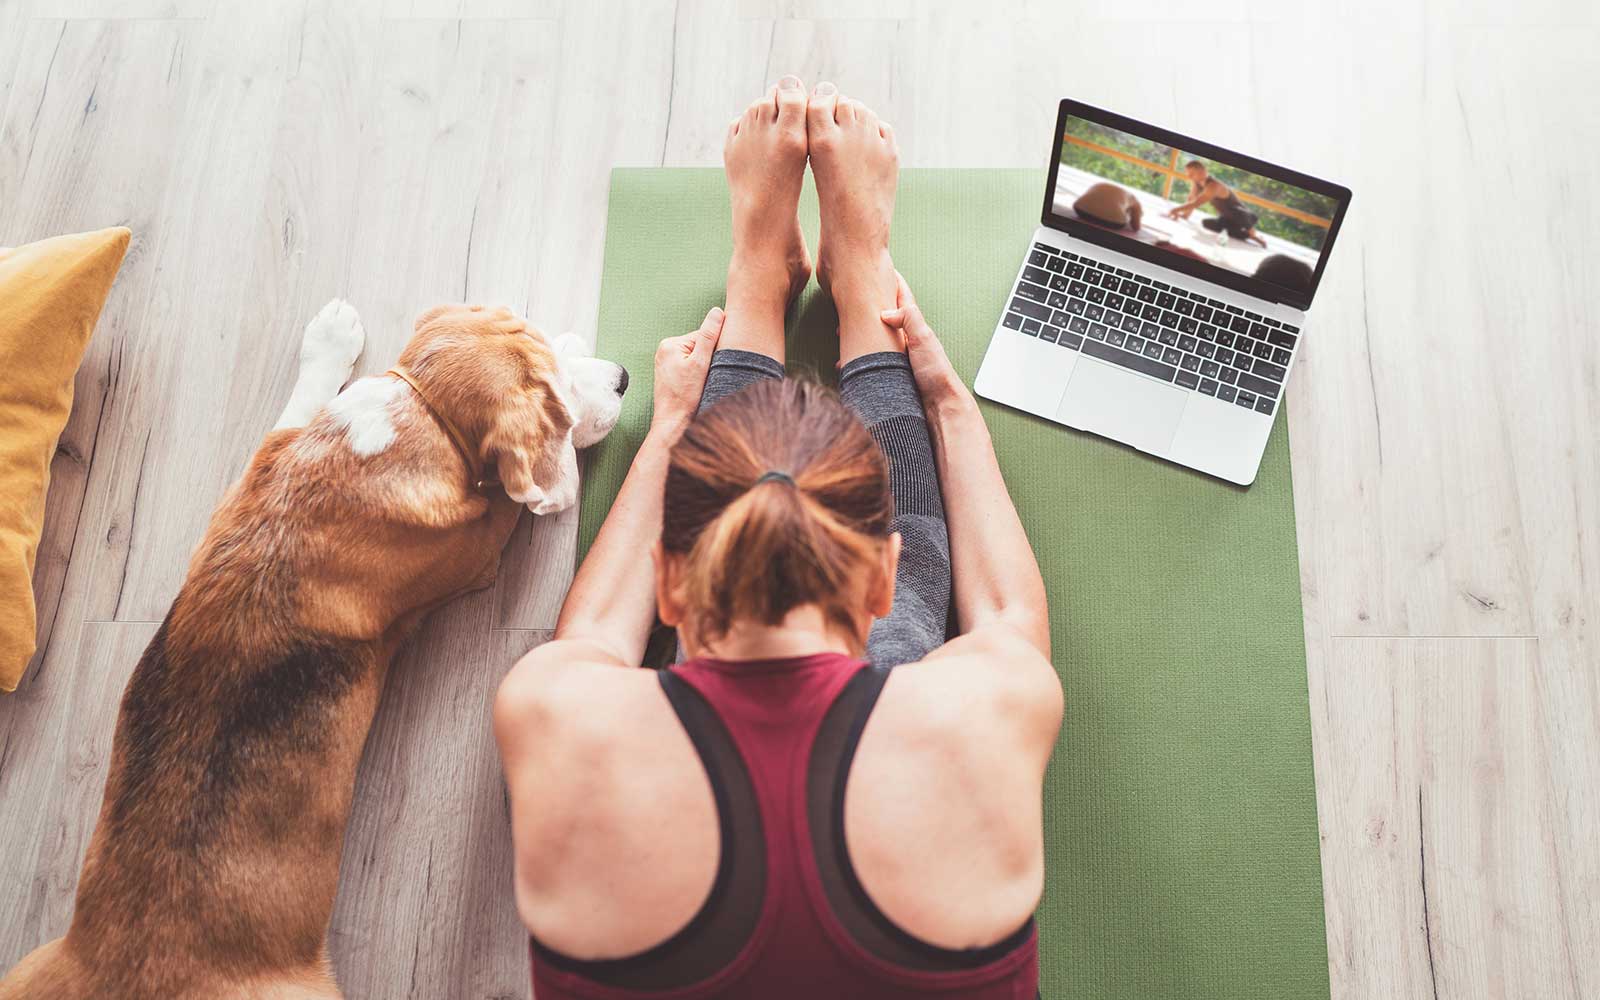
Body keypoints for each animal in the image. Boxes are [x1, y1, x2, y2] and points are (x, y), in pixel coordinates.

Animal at [0, 297, 624, 998]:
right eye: (556, 398)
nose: (625, 378)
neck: (420, 412)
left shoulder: (266, 457)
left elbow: (301, 400)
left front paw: (331, 338)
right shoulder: (478, 546)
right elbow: (511, 497)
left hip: (26, 967)